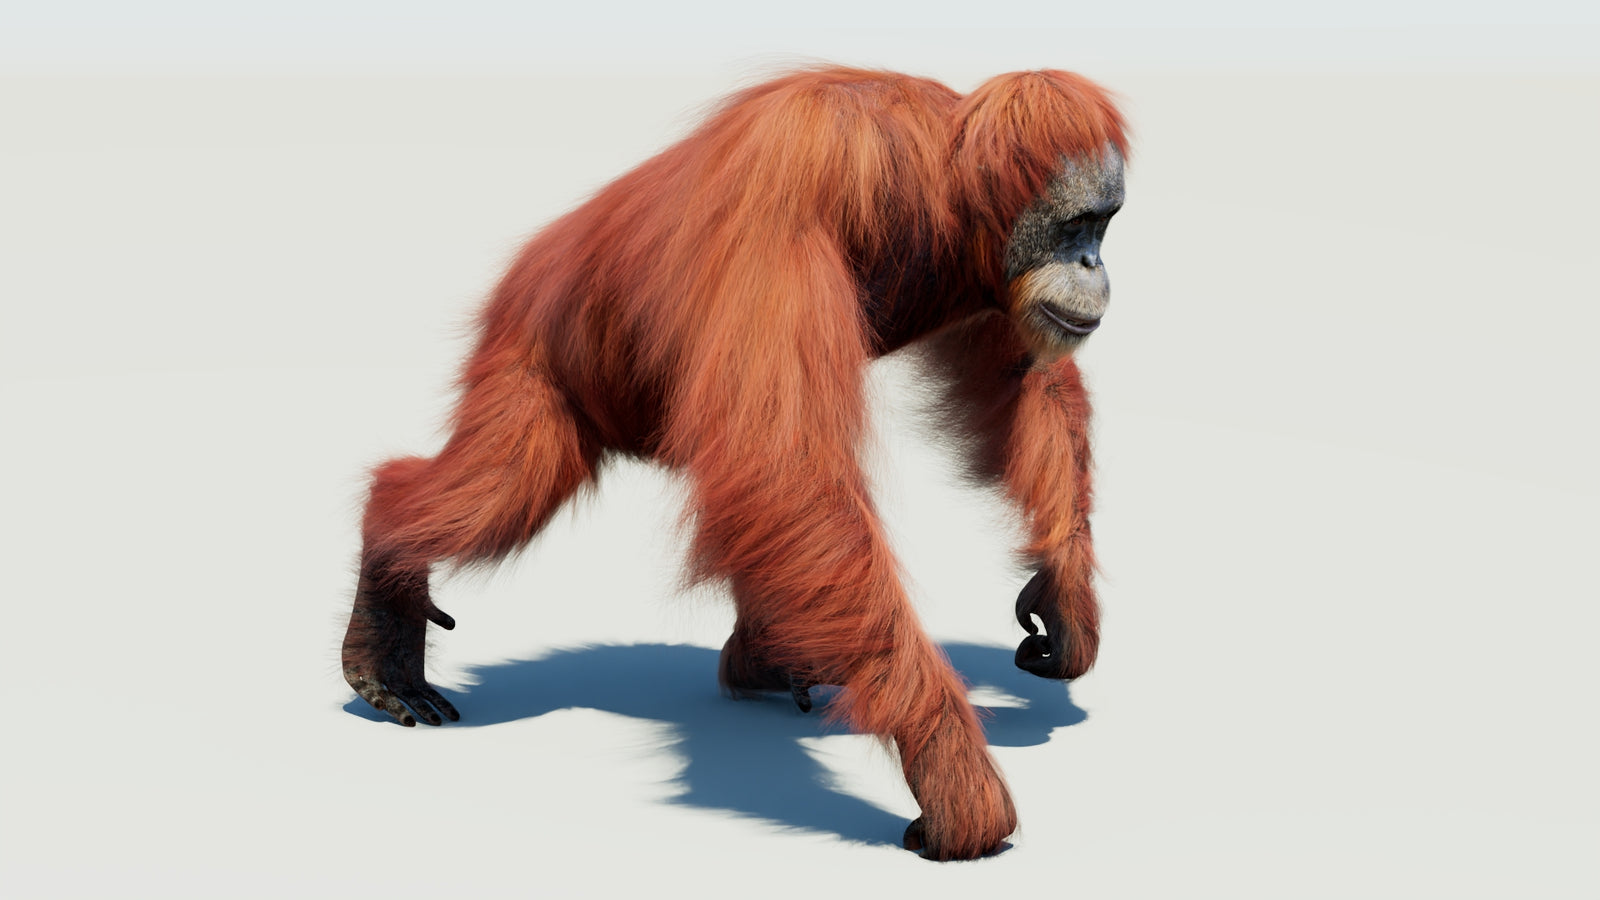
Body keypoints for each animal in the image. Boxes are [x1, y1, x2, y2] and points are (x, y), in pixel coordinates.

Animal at [340, 66, 1127, 860]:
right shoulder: (798, 183)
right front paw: (951, 769)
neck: (939, 183)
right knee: (508, 486)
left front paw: (1065, 593)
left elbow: (1024, 380)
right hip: (534, 351)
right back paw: (388, 578)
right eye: (1076, 226)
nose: (1094, 265)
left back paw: (765, 657)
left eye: (1103, 225)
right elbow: (783, 464)